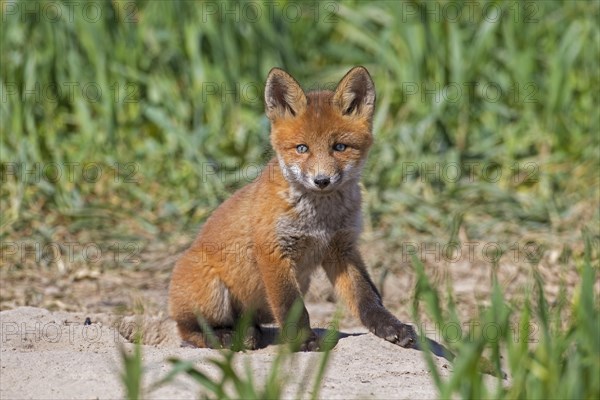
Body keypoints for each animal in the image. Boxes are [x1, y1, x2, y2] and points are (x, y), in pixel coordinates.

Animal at [166, 67, 414, 352]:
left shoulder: (342, 249)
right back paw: (223, 337)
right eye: (302, 148)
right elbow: (291, 306)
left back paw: (246, 331)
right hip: (212, 294)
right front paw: (303, 340)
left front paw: (391, 326)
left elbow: (367, 298)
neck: (320, 221)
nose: (321, 180)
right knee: (187, 330)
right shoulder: (273, 251)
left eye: (339, 147)